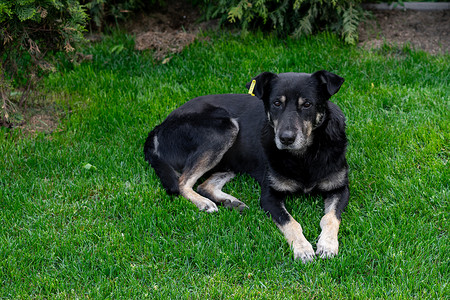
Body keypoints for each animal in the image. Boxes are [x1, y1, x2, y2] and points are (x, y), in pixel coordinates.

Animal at [144, 70, 348, 262]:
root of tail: (159, 127)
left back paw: (230, 202)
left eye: (307, 104)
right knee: (182, 182)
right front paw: (303, 248)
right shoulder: (269, 196)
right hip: (224, 128)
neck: (305, 155)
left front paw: (327, 245)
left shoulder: (340, 189)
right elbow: (291, 222)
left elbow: (330, 218)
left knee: (204, 184)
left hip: (231, 158)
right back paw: (204, 203)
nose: (286, 139)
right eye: (276, 103)